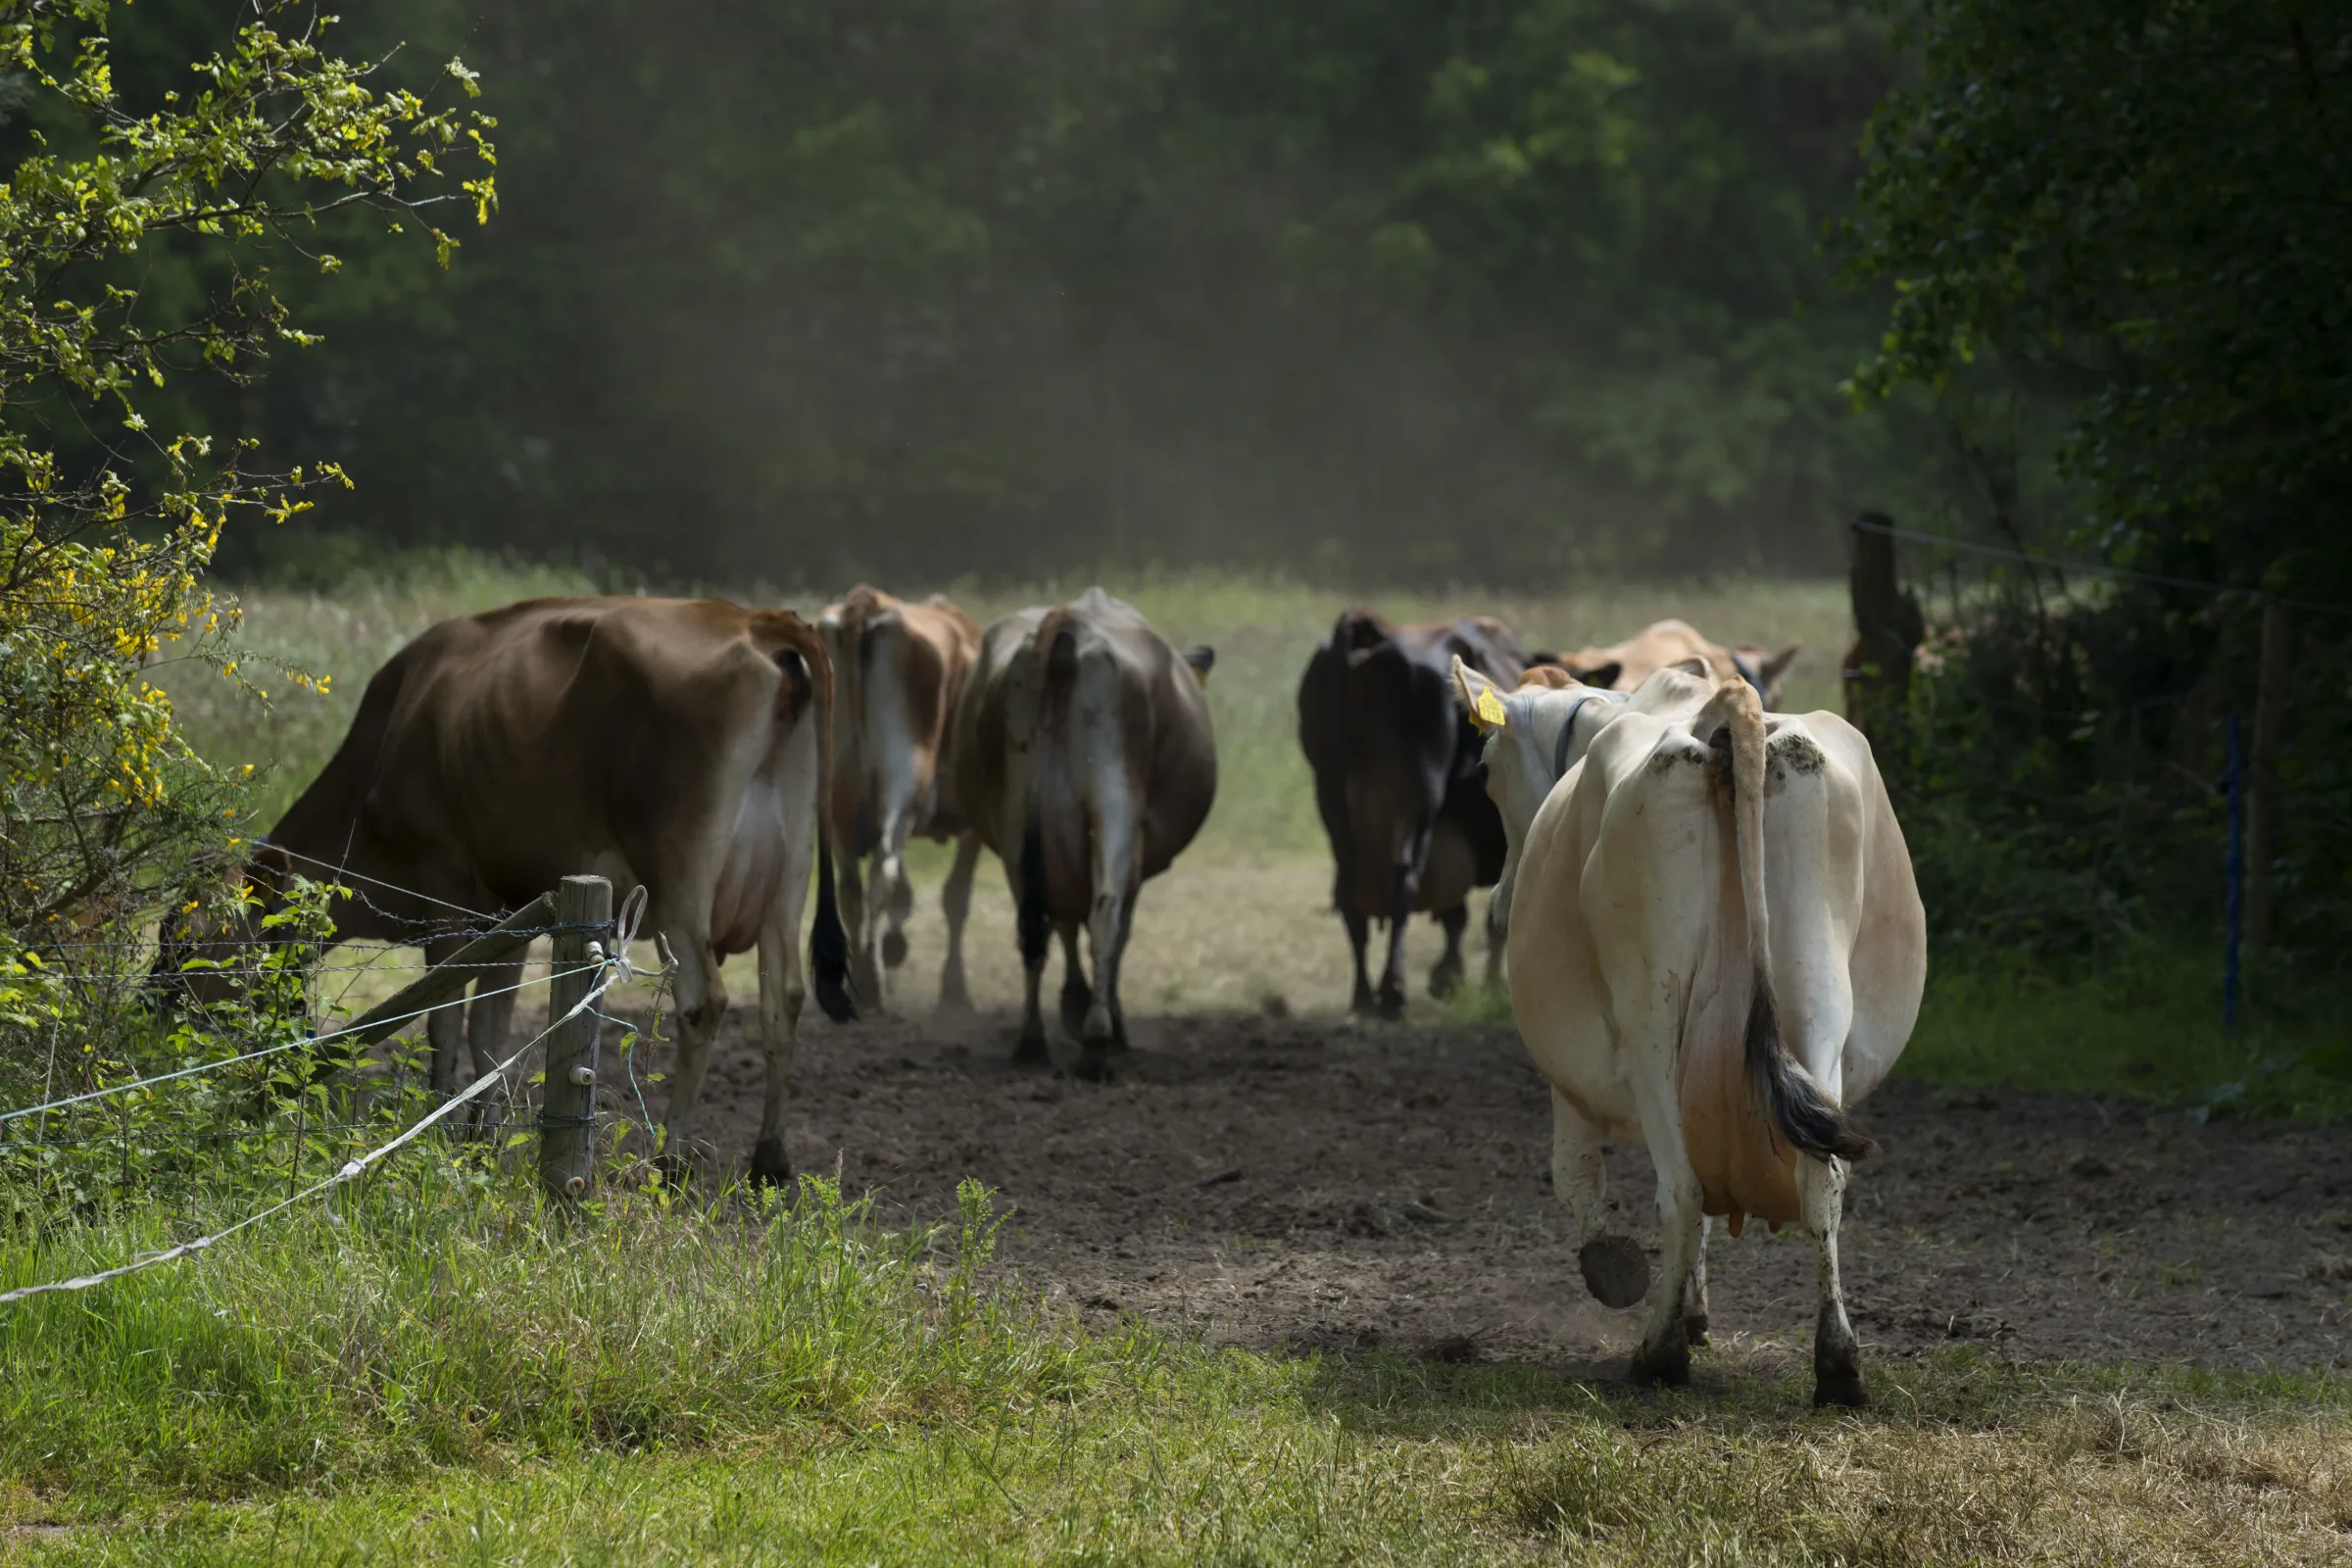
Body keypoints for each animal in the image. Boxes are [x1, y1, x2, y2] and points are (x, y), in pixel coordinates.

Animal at [168, 597, 856, 1183]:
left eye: (192, 940)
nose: (156, 1005)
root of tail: (755, 619)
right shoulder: (513, 910)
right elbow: (488, 1031)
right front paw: (482, 1136)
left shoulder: (444, 898)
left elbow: (444, 1023)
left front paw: (438, 1126)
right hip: (787, 878)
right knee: (783, 1001)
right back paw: (770, 1160)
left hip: (678, 880)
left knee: (703, 1003)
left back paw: (670, 1162)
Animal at [817, 585, 985, 1013]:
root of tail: (867, 604)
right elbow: (956, 897)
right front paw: (954, 989)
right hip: (902, 789)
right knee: (882, 875)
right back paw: (873, 980)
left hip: (836, 803)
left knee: (851, 889)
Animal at [950, 588, 1216, 1078]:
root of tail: (1068, 625)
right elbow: (1112, 928)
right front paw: (1099, 1014)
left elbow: (1064, 924)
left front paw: (1073, 1002)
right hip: (1113, 806)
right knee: (1106, 913)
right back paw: (1096, 1042)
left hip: (1019, 818)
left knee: (1032, 923)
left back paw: (1031, 1041)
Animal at [1296, 610, 1530, 1016]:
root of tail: (1372, 633)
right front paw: (1479, 981)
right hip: (1419, 791)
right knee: (1403, 879)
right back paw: (1393, 988)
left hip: (1330, 791)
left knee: (1347, 890)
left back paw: (1363, 994)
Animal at [1452, 657, 1925, 1405]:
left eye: (1486, 769)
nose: (1499, 900)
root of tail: (1724, 713)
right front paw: (1696, 1309)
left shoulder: (1569, 1078)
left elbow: (1577, 1178)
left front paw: (1619, 1272)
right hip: (1817, 988)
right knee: (1820, 1183)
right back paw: (1838, 1365)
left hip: (1653, 1012)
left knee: (1680, 1190)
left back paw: (1657, 1354)